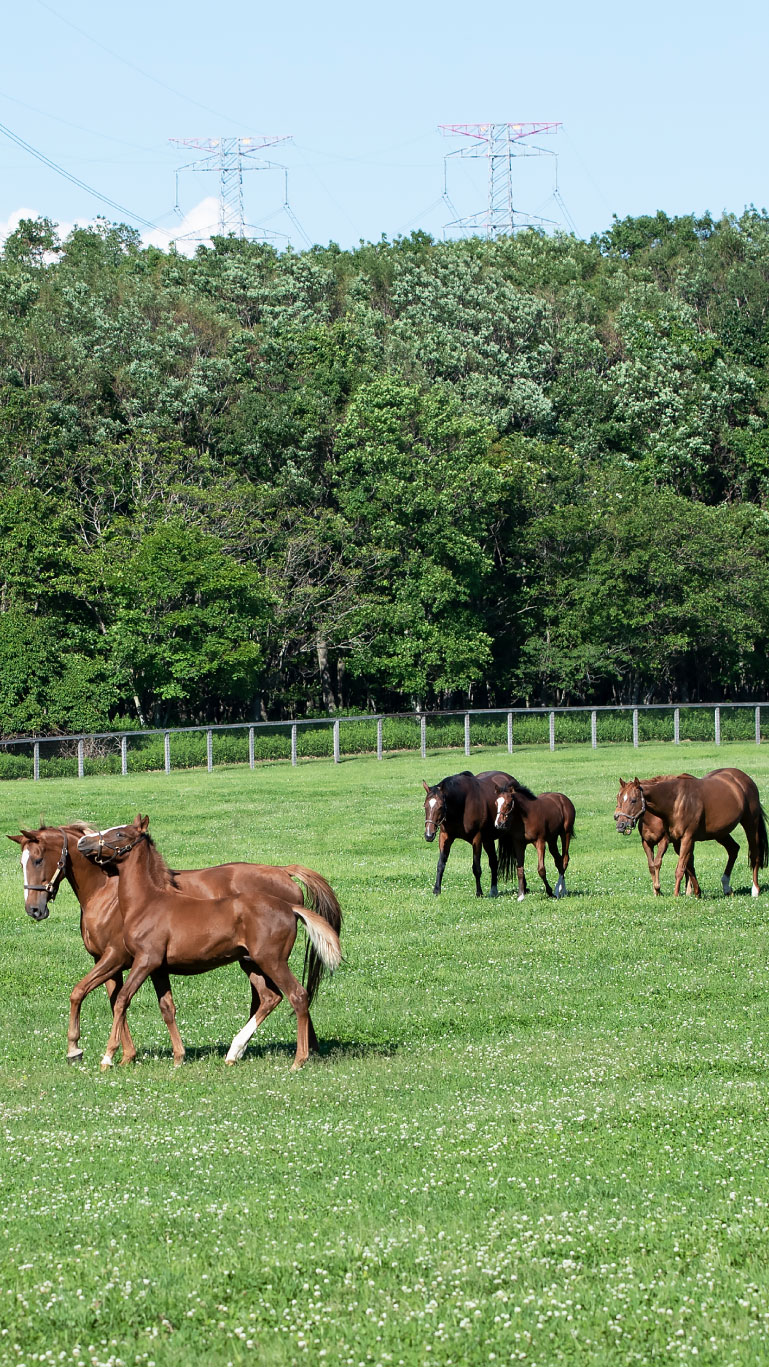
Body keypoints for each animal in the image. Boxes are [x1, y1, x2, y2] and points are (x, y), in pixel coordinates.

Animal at [614, 770, 769, 896]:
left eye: (633, 800)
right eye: (618, 798)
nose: (620, 824)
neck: (675, 801)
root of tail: (744, 779)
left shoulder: (685, 838)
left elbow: (680, 868)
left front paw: (676, 894)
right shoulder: (676, 840)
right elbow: (688, 866)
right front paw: (696, 892)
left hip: (750, 824)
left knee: (754, 854)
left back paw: (755, 889)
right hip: (720, 833)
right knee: (733, 849)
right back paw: (726, 887)